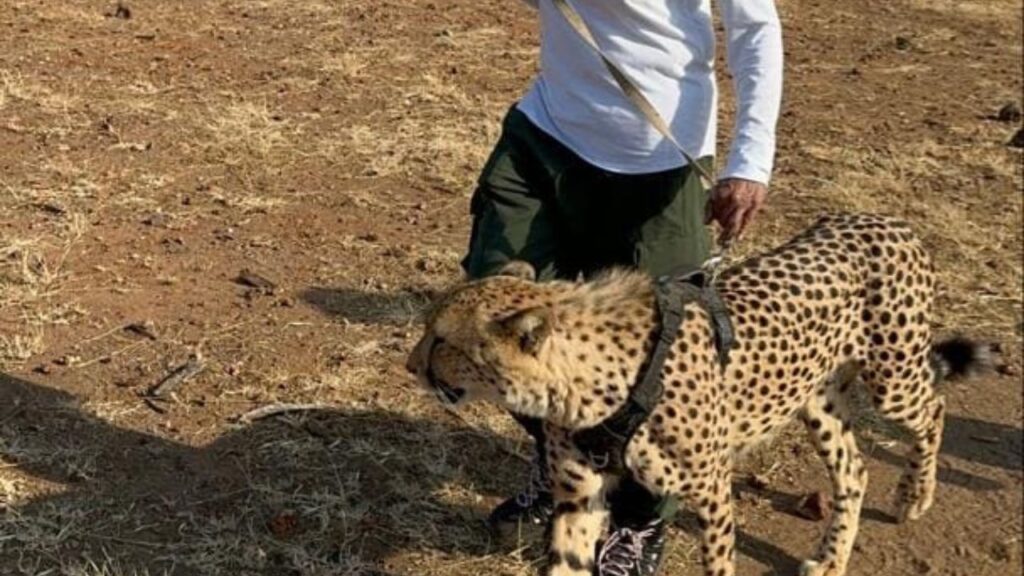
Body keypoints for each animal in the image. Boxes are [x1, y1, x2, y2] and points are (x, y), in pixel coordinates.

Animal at [406, 212, 991, 576]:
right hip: (816, 400)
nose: (411, 365)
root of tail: (884, 220)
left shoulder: (710, 489)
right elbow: (567, 562)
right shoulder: (579, 490)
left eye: (442, 340)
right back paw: (831, 558)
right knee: (855, 469)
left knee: (935, 406)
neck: (589, 381)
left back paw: (914, 495)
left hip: (893, 379)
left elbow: (719, 561)